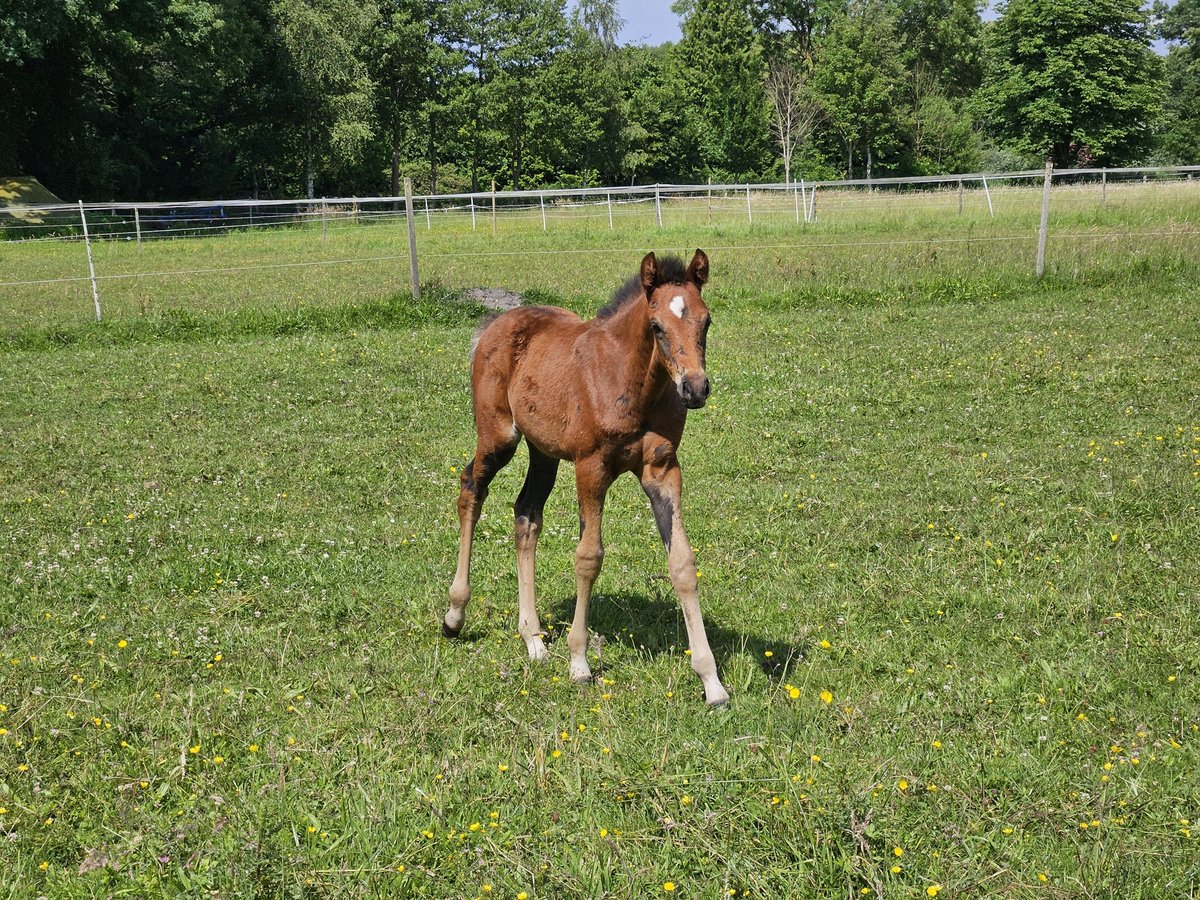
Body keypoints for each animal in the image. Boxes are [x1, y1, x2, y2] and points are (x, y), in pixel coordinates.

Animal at [441, 250, 720, 710]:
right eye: (657, 326)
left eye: (707, 321)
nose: (695, 389)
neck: (632, 382)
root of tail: (493, 324)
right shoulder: (591, 467)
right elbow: (589, 557)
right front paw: (579, 663)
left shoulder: (662, 469)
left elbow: (682, 562)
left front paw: (711, 681)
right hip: (499, 436)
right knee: (470, 491)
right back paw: (454, 615)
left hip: (544, 451)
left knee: (526, 514)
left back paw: (534, 639)